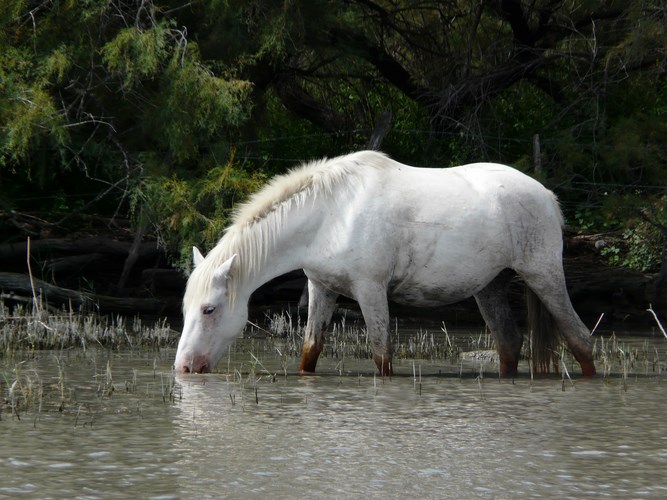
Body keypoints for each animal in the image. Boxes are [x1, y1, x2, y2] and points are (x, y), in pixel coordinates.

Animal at [175, 150, 596, 376]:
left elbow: (382, 356)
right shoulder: (322, 288)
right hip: (489, 287)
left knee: (580, 339)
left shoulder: (370, 290)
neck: (331, 214)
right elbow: (310, 353)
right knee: (509, 344)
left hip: (543, 275)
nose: (183, 368)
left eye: (209, 309)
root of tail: (546, 195)